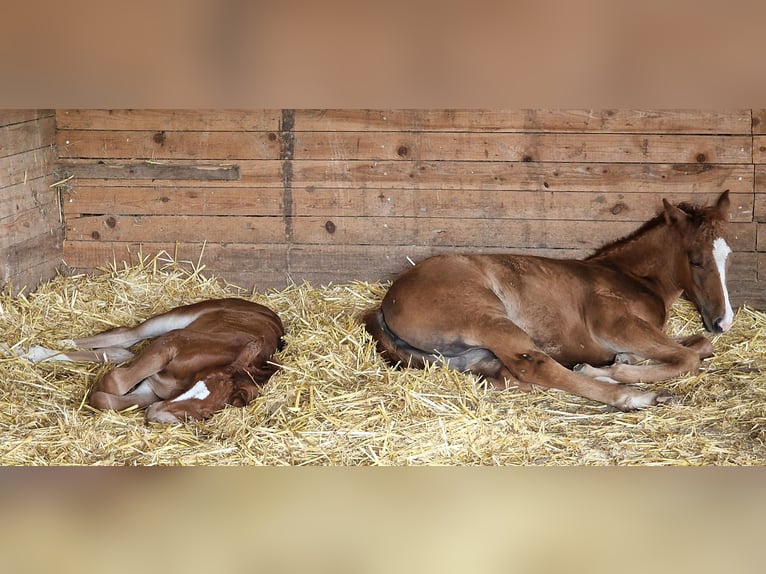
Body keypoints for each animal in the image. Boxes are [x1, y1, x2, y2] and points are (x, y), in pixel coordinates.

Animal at [27, 300, 286, 426]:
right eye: (201, 378)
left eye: (206, 412)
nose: (155, 413)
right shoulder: (167, 344)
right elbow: (115, 381)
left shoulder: (149, 391)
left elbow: (107, 399)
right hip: (171, 321)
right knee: (125, 335)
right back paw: (40, 349)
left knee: (122, 351)